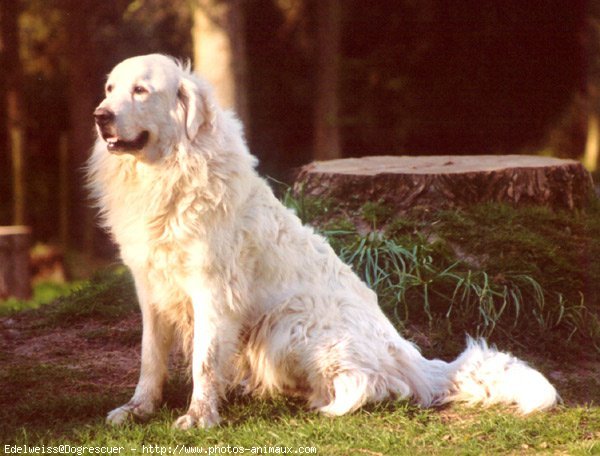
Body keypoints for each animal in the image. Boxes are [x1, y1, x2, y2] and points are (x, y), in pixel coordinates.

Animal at [88, 55, 556, 430]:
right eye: (110, 89)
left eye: (141, 90)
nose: (99, 115)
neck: (167, 173)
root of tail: (413, 359)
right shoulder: (151, 288)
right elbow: (150, 357)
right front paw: (138, 409)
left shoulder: (213, 292)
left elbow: (204, 362)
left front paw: (199, 417)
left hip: (289, 323)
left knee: (378, 384)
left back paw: (326, 402)